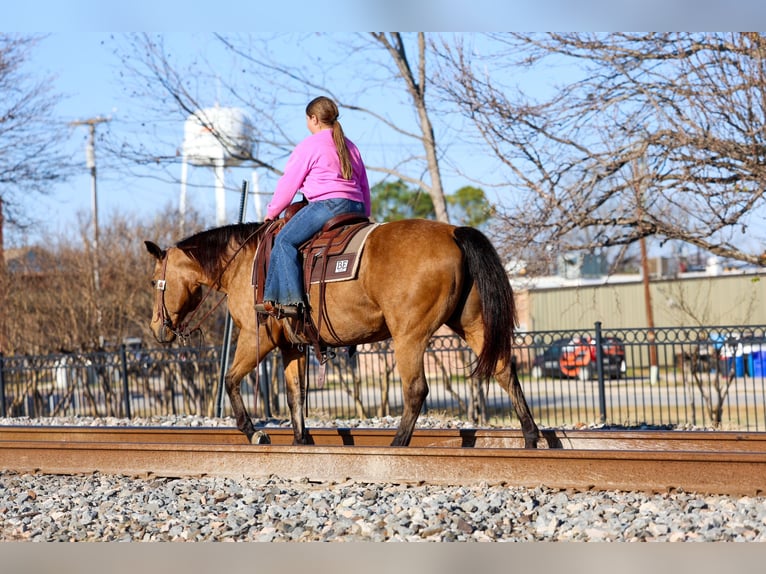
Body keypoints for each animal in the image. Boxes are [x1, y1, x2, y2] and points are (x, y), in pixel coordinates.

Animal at [144, 218, 540, 448]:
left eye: (153, 282)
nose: (157, 329)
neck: (244, 263)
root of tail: (452, 232)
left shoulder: (258, 339)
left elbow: (229, 379)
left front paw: (254, 431)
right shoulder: (292, 346)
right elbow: (294, 395)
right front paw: (301, 440)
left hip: (408, 335)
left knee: (416, 389)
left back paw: (398, 444)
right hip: (471, 323)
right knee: (505, 370)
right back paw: (531, 437)